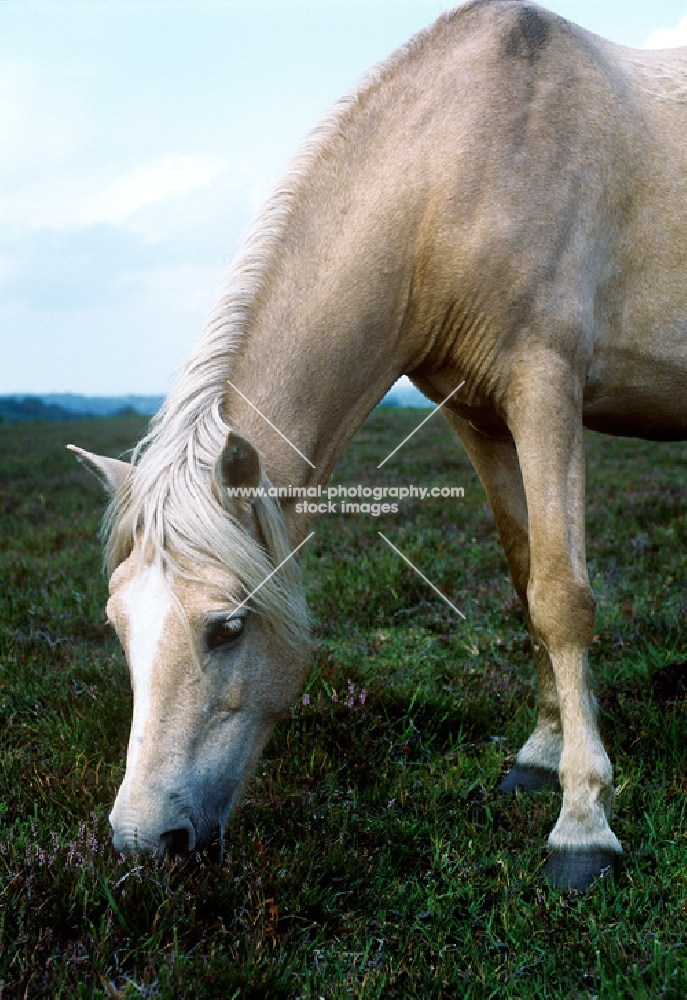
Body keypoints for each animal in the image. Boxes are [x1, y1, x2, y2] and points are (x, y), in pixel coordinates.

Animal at [71, 0, 687, 892]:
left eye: (227, 626)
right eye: (119, 622)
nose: (143, 842)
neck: (465, 167)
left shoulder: (546, 392)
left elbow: (561, 598)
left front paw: (582, 825)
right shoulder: (480, 418)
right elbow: (522, 579)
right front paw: (538, 758)